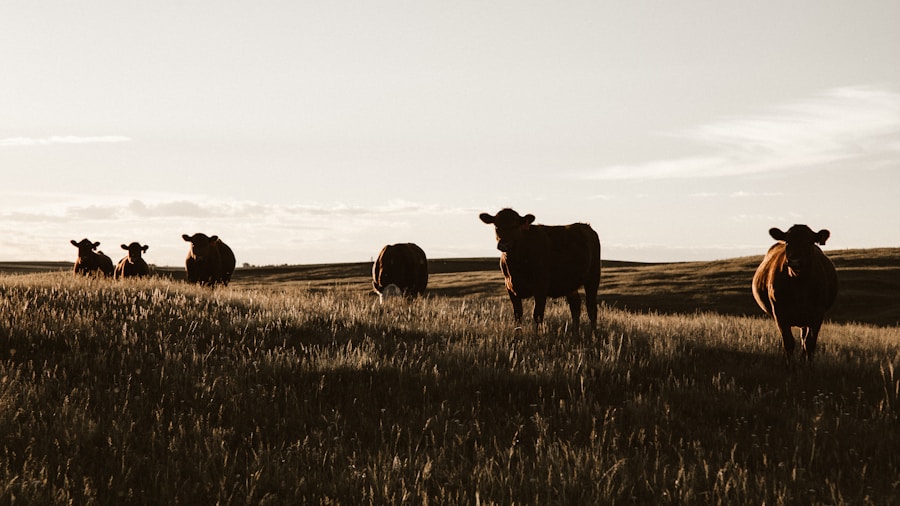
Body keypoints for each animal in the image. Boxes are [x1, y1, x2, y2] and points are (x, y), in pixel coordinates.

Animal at [752, 225, 839, 362]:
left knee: (803, 339)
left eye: (809, 242)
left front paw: (809, 365)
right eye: (788, 242)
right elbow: (788, 342)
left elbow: (809, 343)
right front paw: (790, 365)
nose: (795, 261)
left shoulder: (818, 313)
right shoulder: (780, 313)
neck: (799, 284)